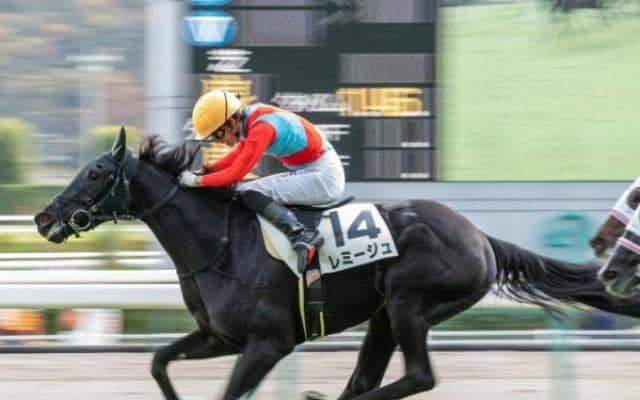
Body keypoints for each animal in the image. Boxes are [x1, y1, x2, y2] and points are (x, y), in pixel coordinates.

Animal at [34, 128, 640, 400]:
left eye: (94, 173)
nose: (43, 217)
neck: (220, 246)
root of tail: (479, 236)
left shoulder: (269, 342)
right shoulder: (220, 337)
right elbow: (160, 362)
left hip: (410, 304)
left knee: (418, 376)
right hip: (384, 315)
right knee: (372, 375)